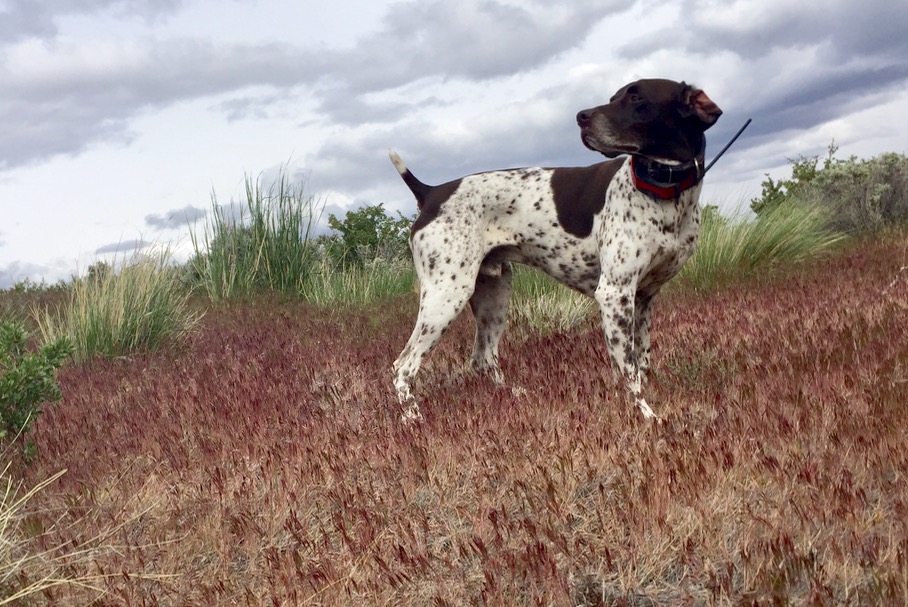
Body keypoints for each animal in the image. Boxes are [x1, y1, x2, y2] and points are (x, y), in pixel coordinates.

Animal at [390, 78, 724, 420]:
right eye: (616, 97)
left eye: (636, 97)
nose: (581, 117)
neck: (665, 196)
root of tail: (430, 193)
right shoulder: (615, 294)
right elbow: (629, 371)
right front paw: (646, 415)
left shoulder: (644, 295)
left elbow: (641, 361)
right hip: (446, 296)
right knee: (403, 365)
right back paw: (413, 418)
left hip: (494, 294)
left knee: (482, 357)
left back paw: (514, 397)